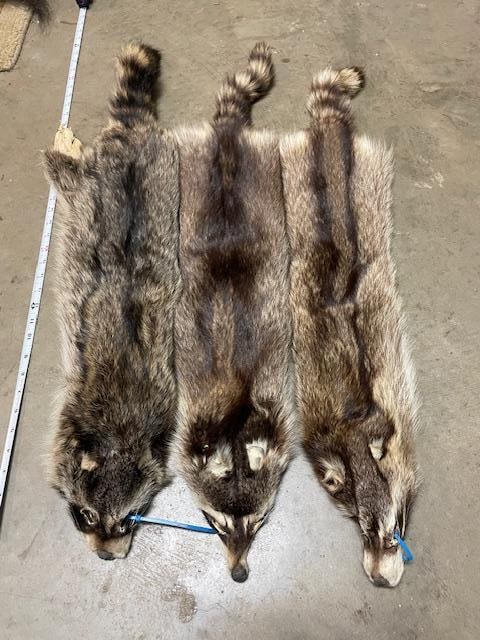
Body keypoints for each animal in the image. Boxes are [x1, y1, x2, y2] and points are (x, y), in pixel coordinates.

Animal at [44, 43, 180, 560]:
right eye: (84, 515)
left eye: (127, 521)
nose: (104, 555)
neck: (117, 433)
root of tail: (131, 131)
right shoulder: (71, 411)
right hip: (99, 180)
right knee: (70, 178)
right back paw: (62, 155)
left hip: (165, 164)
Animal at [281, 68, 418, 587]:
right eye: (364, 530)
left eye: (394, 532)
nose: (379, 580)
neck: (353, 431)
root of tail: (327, 136)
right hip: (297, 168)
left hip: (363, 168)